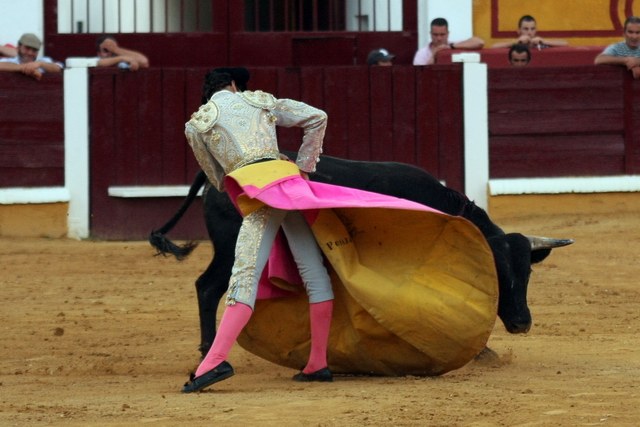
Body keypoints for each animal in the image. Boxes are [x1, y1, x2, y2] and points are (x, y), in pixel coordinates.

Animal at [151, 152, 576, 356]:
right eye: (498, 274)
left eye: (528, 274)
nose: (522, 323)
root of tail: (219, 176)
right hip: (232, 246)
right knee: (208, 287)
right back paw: (208, 350)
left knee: (207, 286)